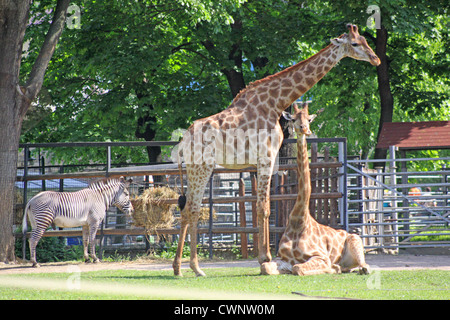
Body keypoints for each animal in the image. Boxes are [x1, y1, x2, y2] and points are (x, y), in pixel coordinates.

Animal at [258, 103, 370, 276]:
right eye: (294, 119)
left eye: (309, 119)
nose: (304, 128)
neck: (299, 220)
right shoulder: (283, 258)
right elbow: (265, 267)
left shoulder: (320, 256)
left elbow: (298, 268)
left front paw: (331, 268)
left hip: (355, 239)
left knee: (365, 266)